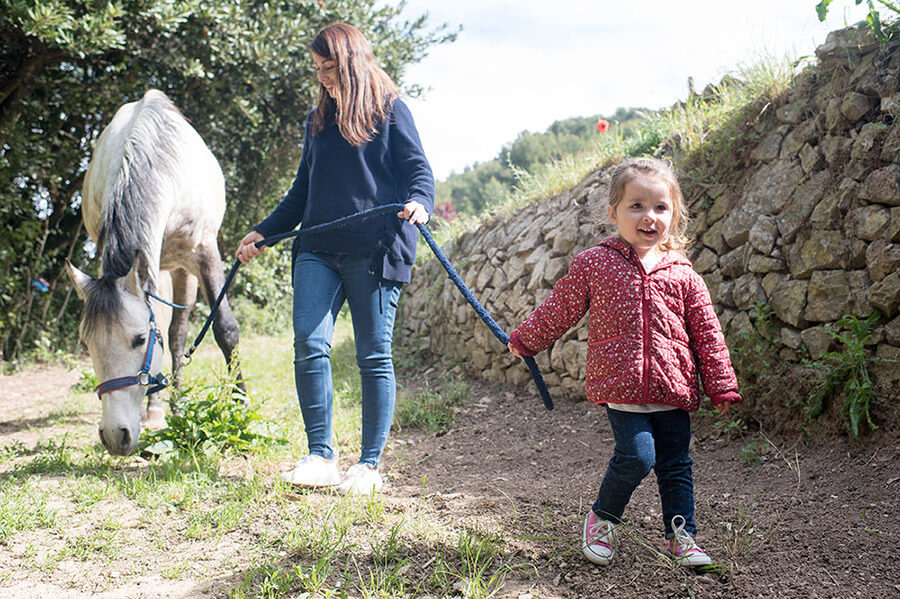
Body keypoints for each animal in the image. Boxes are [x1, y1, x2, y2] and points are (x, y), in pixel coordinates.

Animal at [66, 88, 243, 454]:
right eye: (86, 344)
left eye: (139, 340)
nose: (114, 435)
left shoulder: (204, 253)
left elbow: (225, 330)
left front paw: (241, 404)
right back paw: (159, 408)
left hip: (180, 270)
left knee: (177, 335)